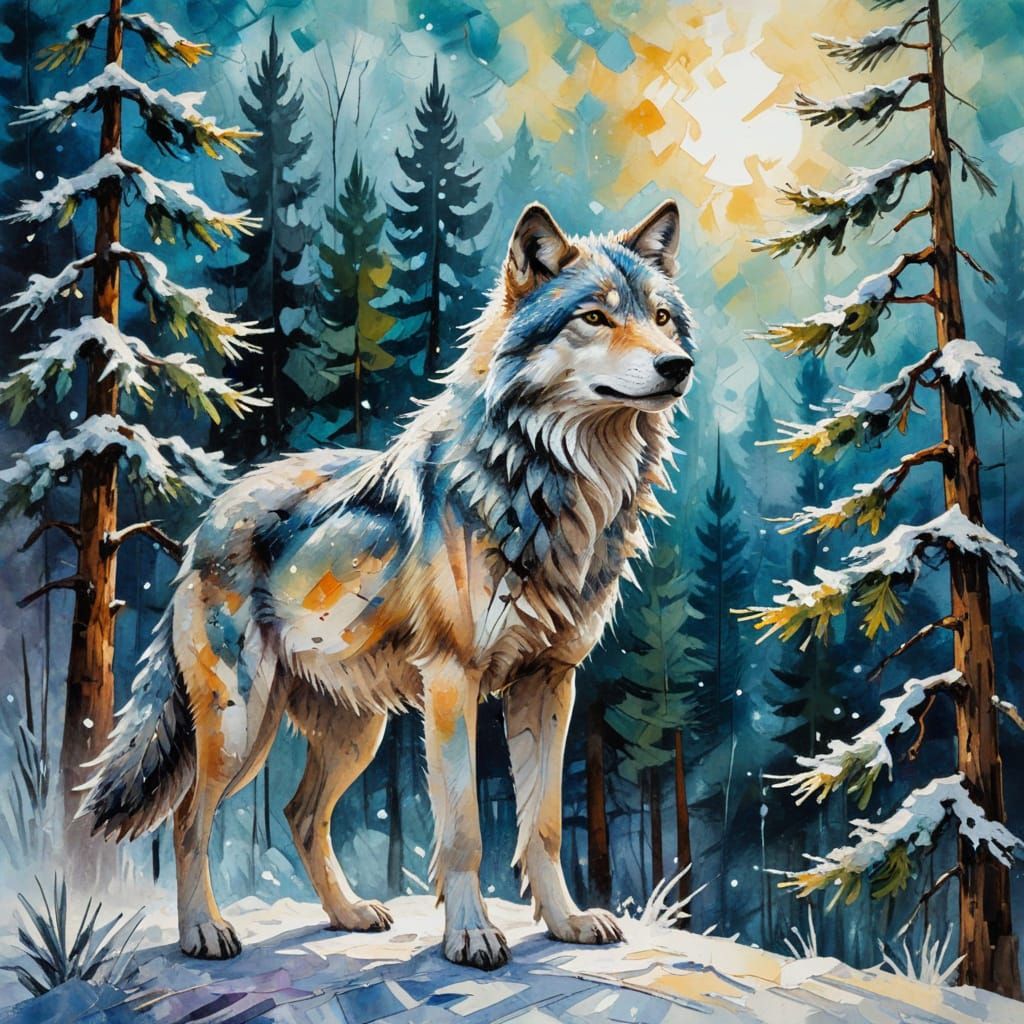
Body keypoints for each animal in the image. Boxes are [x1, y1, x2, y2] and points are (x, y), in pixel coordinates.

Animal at [80, 200, 694, 970]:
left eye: (663, 317)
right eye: (595, 317)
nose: (679, 365)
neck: (550, 487)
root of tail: (205, 525)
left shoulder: (552, 682)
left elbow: (545, 825)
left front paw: (566, 923)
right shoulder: (454, 681)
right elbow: (463, 831)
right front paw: (471, 936)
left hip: (354, 734)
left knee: (299, 814)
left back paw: (346, 914)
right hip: (240, 726)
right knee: (191, 816)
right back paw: (204, 933)